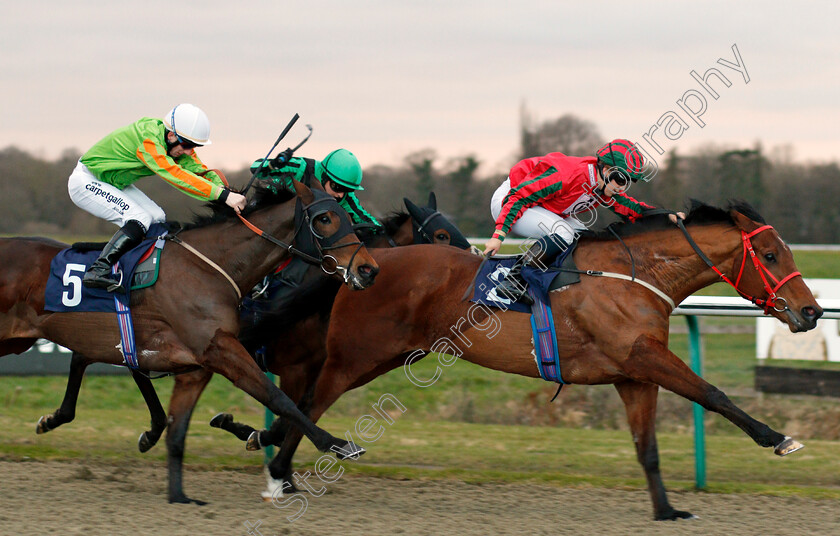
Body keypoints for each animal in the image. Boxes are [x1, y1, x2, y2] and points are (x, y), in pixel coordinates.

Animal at [0, 179, 378, 502]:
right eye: (325, 219)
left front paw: (179, 495)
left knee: (82, 359)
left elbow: (178, 430)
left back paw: (56, 418)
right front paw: (336, 443)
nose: (368, 269)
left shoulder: (195, 363)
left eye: (349, 218)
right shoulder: (222, 350)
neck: (210, 269)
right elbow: (279, 398)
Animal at [253, 200, 824, 520]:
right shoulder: (646, 356)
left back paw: (268, 446)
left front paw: (666, 510)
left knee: (302, 401)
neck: (634, 275)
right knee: (310, 401)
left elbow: (648, 449)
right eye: (770, 255)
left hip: (384, 357)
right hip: (355, 355)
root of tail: (362, 265)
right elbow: (713, 393)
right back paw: (279, 472)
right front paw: (779, 439)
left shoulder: (634, 375)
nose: (811, 311)